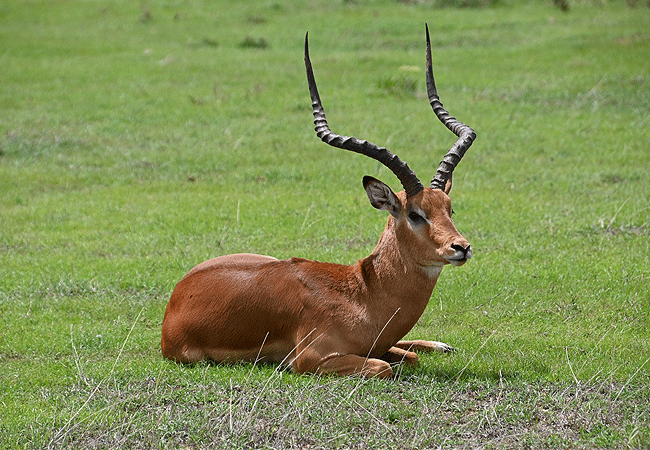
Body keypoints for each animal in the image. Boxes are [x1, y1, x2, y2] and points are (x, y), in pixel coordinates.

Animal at [161, 25, 476, 378]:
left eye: (449, 208)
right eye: (414, 213)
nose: (461, 247)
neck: (364, 295)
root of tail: (176, 298)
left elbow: (407, 357)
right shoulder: (312, 359)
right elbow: (385, 366)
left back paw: (441, 345)